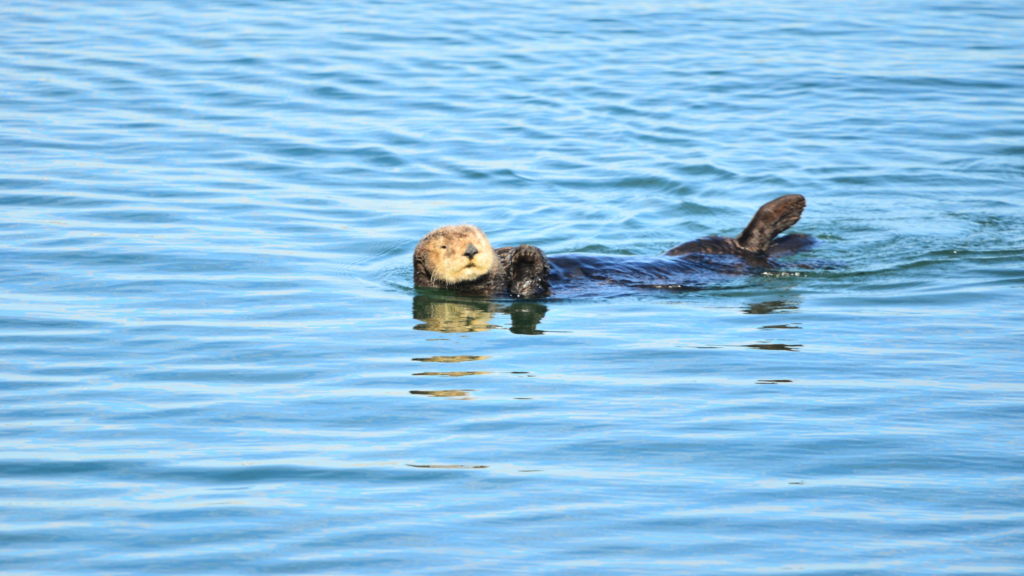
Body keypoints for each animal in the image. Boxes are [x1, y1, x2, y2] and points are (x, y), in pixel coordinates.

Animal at [413, 194, 813, 298]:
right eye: (446, 248)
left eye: (477, 239)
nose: (472, 251)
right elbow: (530, 290)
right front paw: (527, 257)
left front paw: (520, 251)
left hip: (703, 245)